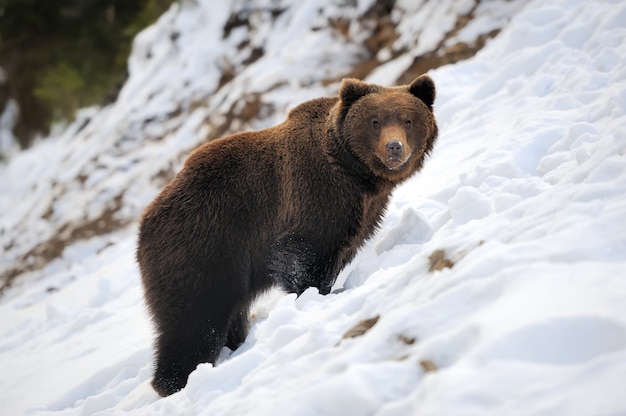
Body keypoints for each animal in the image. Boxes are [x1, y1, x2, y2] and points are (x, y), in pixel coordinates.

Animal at [138, 75, 434, 396]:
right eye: (375, 121)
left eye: (408, 120)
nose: (394, 147)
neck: (356, 174)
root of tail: (144, 224)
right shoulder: (314, 192)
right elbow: (303, 253)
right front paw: (315, 296)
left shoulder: (362, 213)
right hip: (202, 249)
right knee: (194, 323)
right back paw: (176, 381)